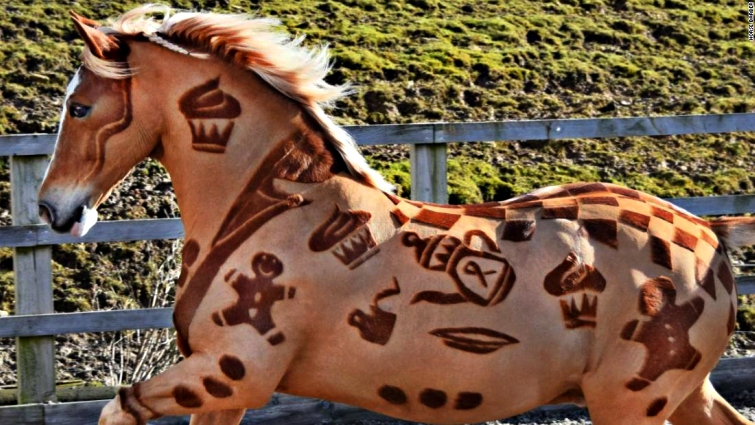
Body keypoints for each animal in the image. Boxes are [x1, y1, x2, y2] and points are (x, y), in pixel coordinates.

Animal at [37, 5, 754, 425]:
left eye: (80, 106)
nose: (52, 208)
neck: (275, 211)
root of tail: (709, 234)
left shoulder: (231, 373)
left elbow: (116, 410)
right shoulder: (224, 391)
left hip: (631, 406)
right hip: (683, 397)